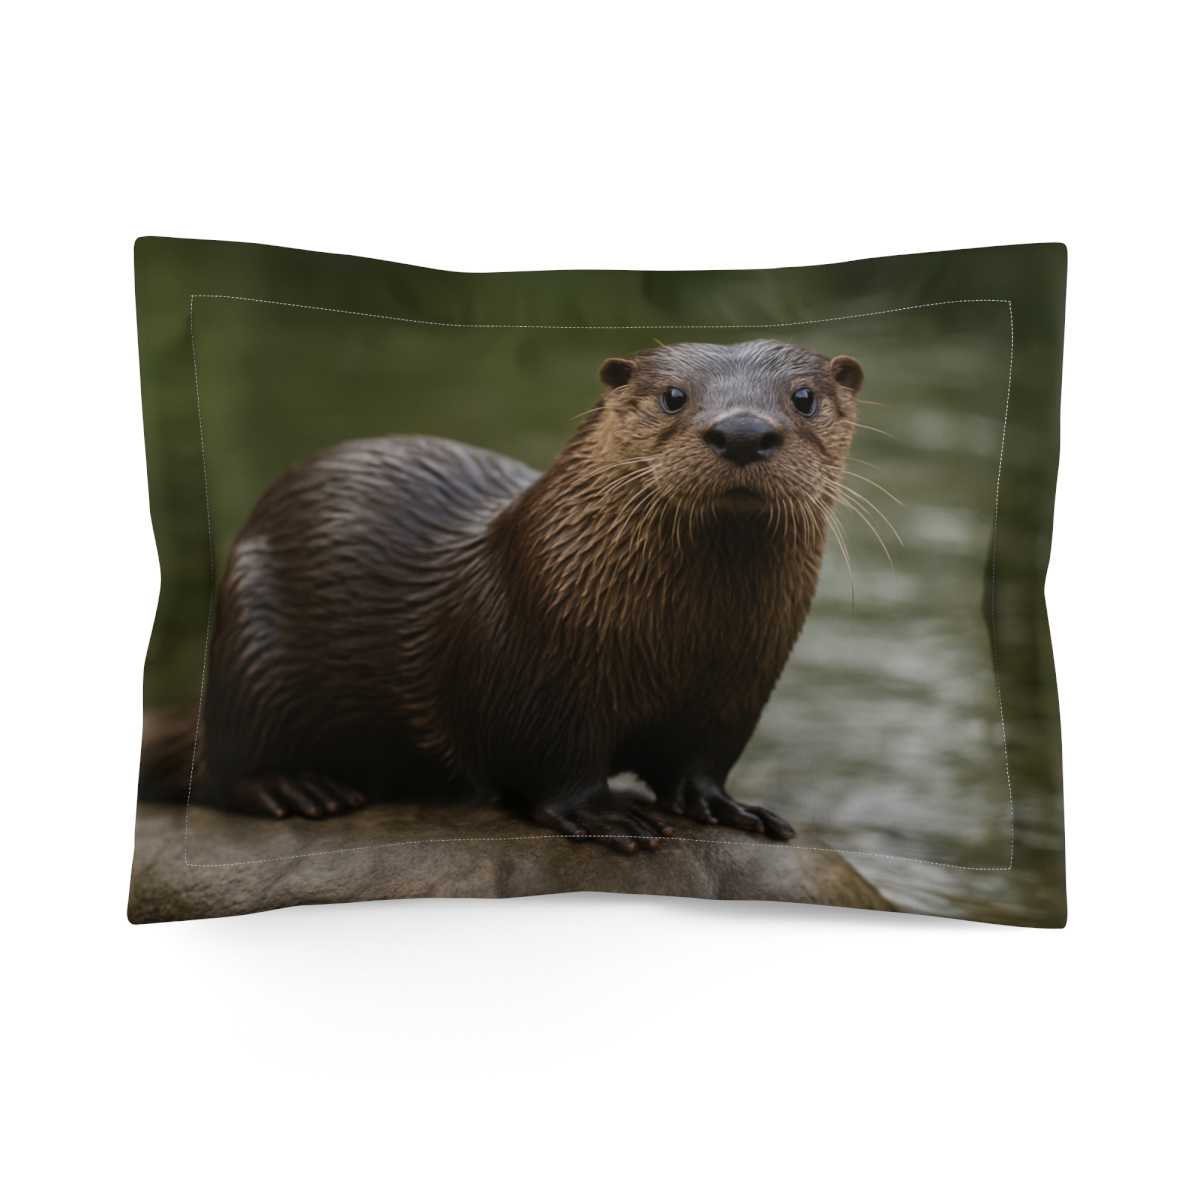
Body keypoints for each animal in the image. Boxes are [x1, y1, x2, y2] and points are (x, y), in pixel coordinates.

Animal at [141, 339, 864, 853]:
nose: (742, 431)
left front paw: (725, 807)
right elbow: (548, 764)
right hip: (251, 645)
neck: (682, 642)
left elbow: (699, 762)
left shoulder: (737, 688)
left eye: (803, 397)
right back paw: (298, 788)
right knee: (219, 767)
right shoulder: (534, 670)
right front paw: (605, 815)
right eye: (673, 396)